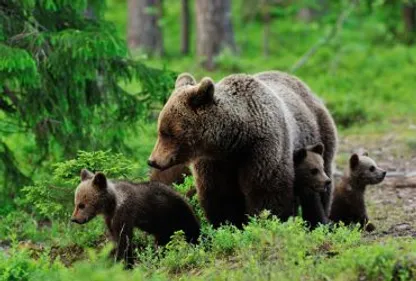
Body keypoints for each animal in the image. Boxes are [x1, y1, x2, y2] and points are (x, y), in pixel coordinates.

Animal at [148, 70, 336, 228]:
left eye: (167, 133)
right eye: (160, 130)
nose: (152, 161)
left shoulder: (262, 149)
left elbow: (266, 192)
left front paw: (263, 222)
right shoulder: (215, 162)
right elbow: (220, 196)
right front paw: (228, 225)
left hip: (320, 137)